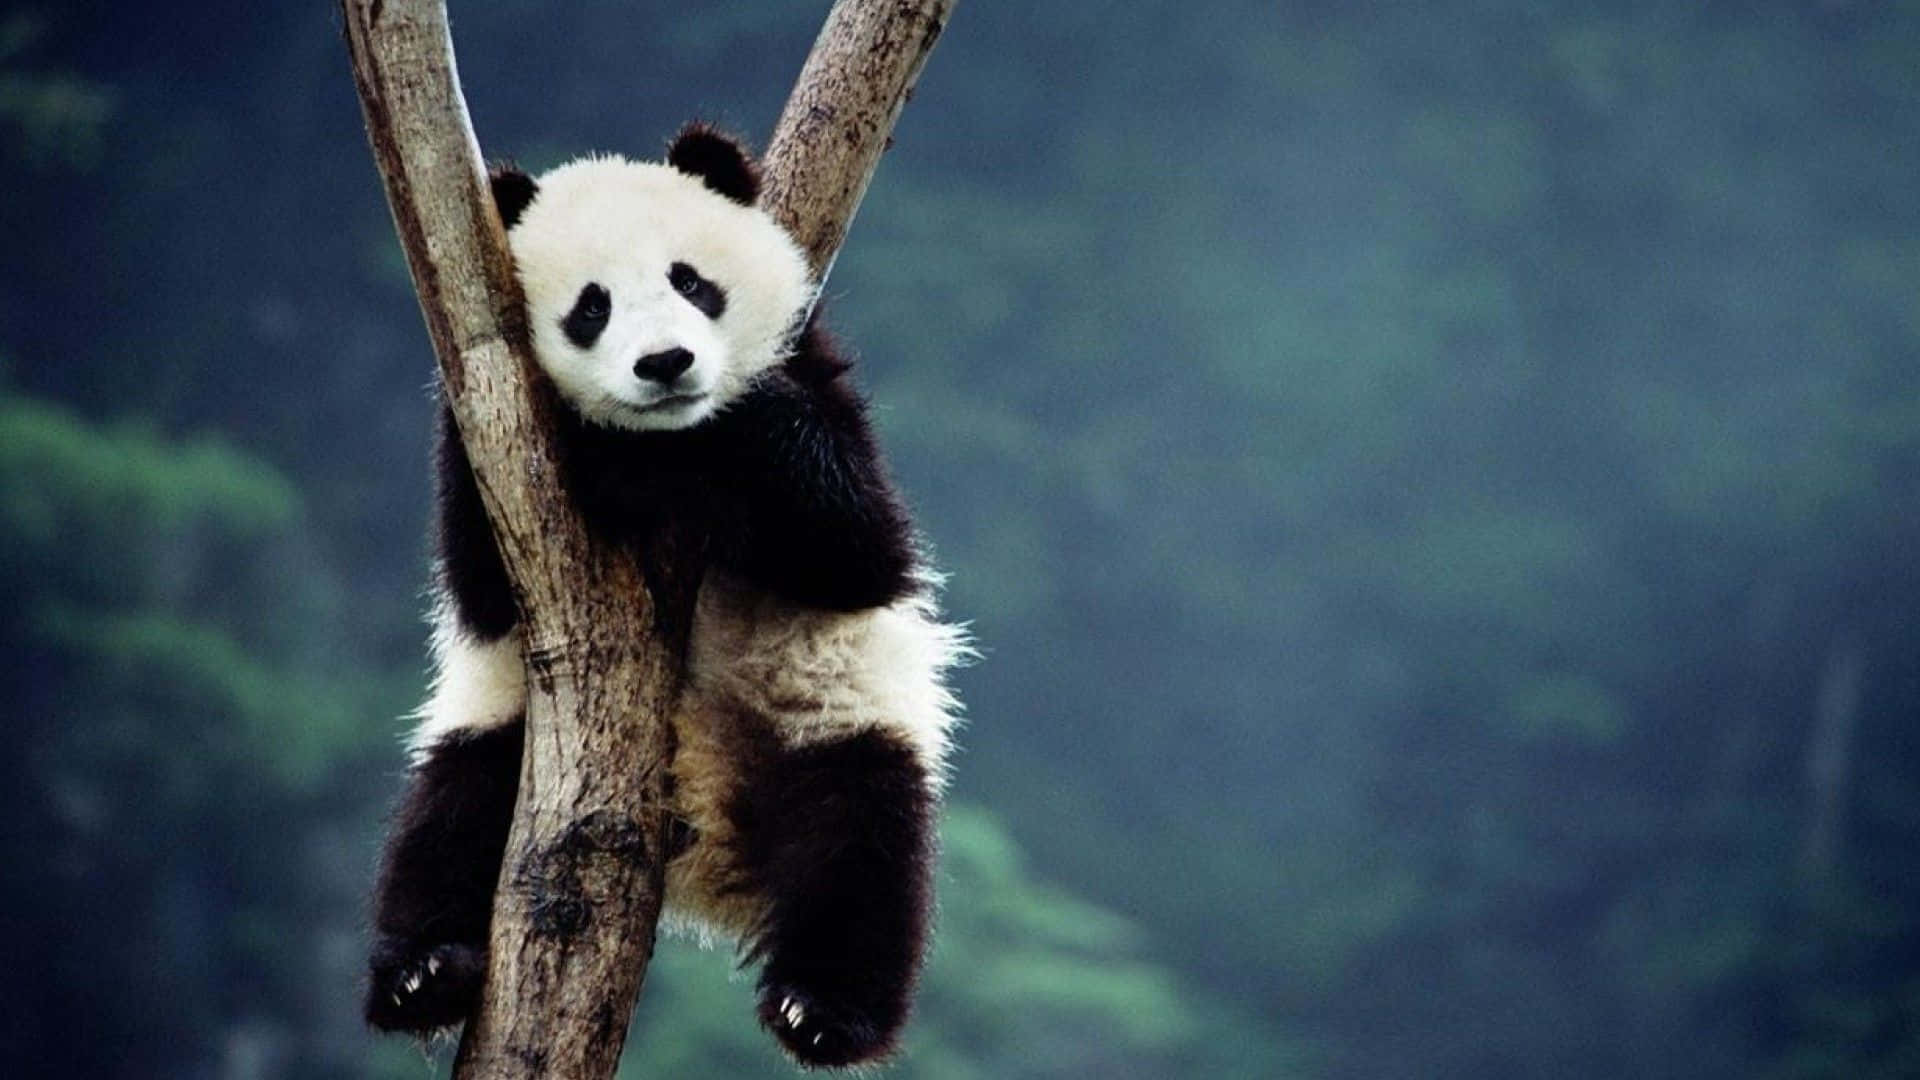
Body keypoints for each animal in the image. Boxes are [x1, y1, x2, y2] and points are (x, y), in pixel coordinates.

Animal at [362, 122, 960, 1060]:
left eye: (691, 282)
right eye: (591, 308)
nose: (667, 363)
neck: (672, 441)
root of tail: (707, 850)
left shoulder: (818, 379)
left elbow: (858, 545)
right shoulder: (490, 432)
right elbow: (482, 586)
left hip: (833, 717)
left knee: (862, 849)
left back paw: (822, 1010)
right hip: (504, 736)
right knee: (448, 818)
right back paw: (422, 975)